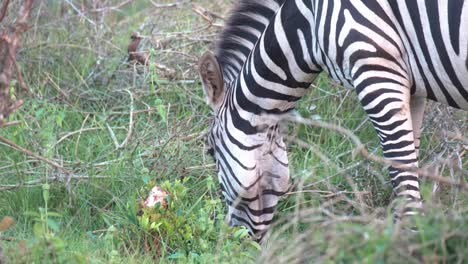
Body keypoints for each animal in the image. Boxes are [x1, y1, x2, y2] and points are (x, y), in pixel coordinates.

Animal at [197, 0, 468, 240]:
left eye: (210, 152)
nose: (235, 237)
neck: (309, 23)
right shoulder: (412, 88)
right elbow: (408, 163)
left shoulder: (374, 67)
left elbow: (400, 164)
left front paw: (409, 242)